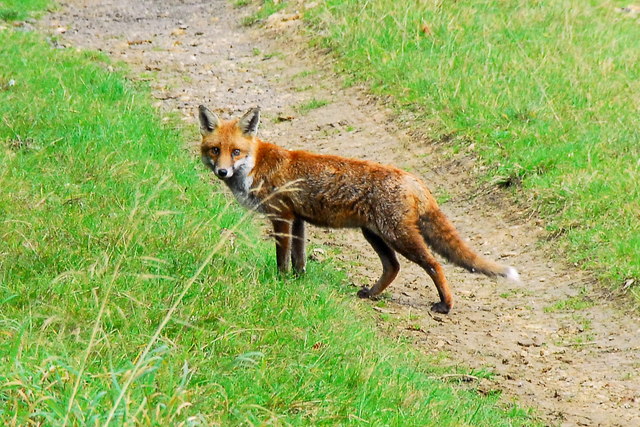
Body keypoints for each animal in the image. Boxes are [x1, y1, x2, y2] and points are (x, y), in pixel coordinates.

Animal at [198, 105, 519, 313]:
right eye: (215, 150)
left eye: (235, 151)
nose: (222, 172)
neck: (256, 165)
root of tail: (414, 179)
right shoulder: (298, 219)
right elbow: (300, 260)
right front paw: (298, 284)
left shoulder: (282, 216)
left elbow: (282, 259)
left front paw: (280, 282)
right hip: (374, 234)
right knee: (393, 267)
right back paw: (371, 294)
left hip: (398, 236)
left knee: (434, 264)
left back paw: (446, 304)